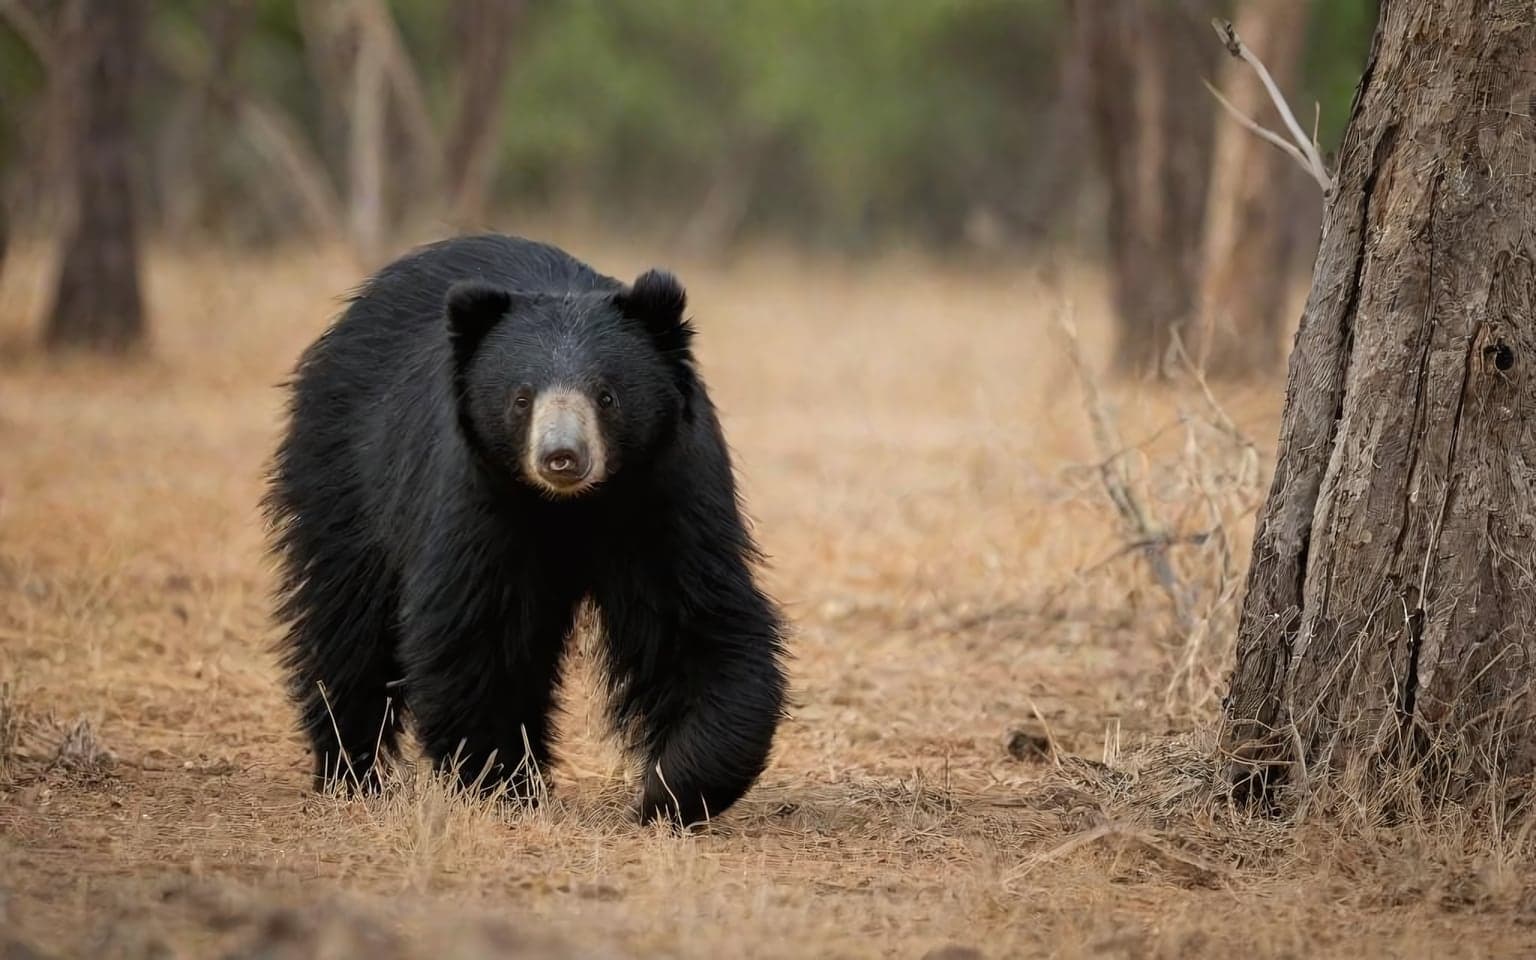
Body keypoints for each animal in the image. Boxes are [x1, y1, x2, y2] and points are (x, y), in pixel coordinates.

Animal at [262, 233, 788, 826]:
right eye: (521, 398)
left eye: (606, 396)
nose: (561, 457)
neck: (570, 507)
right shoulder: (476, 495)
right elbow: (479, 629)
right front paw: (503, 784)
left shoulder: (668, 486)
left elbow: (694, 619)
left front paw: (672, 789)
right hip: (346, 473)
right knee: (350, 619)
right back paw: (350, 771)